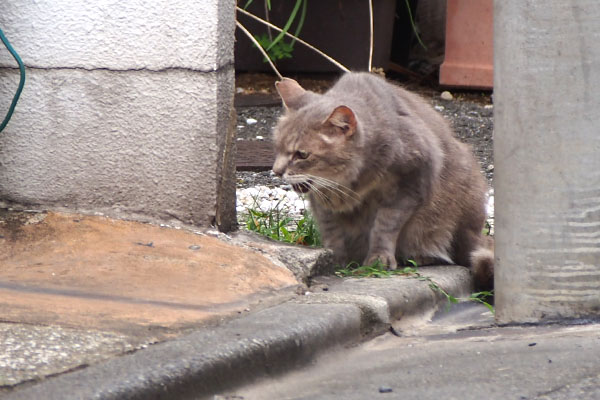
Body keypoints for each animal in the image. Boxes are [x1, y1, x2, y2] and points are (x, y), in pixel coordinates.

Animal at [272, 72, 492, 290]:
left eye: (302, 154)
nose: (276, 171)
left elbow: (385, 226)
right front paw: (334, 258)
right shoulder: (323, 203)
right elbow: (332, 230)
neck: (348, 184)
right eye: (278, 147)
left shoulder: (410, 183)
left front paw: (379, 259)